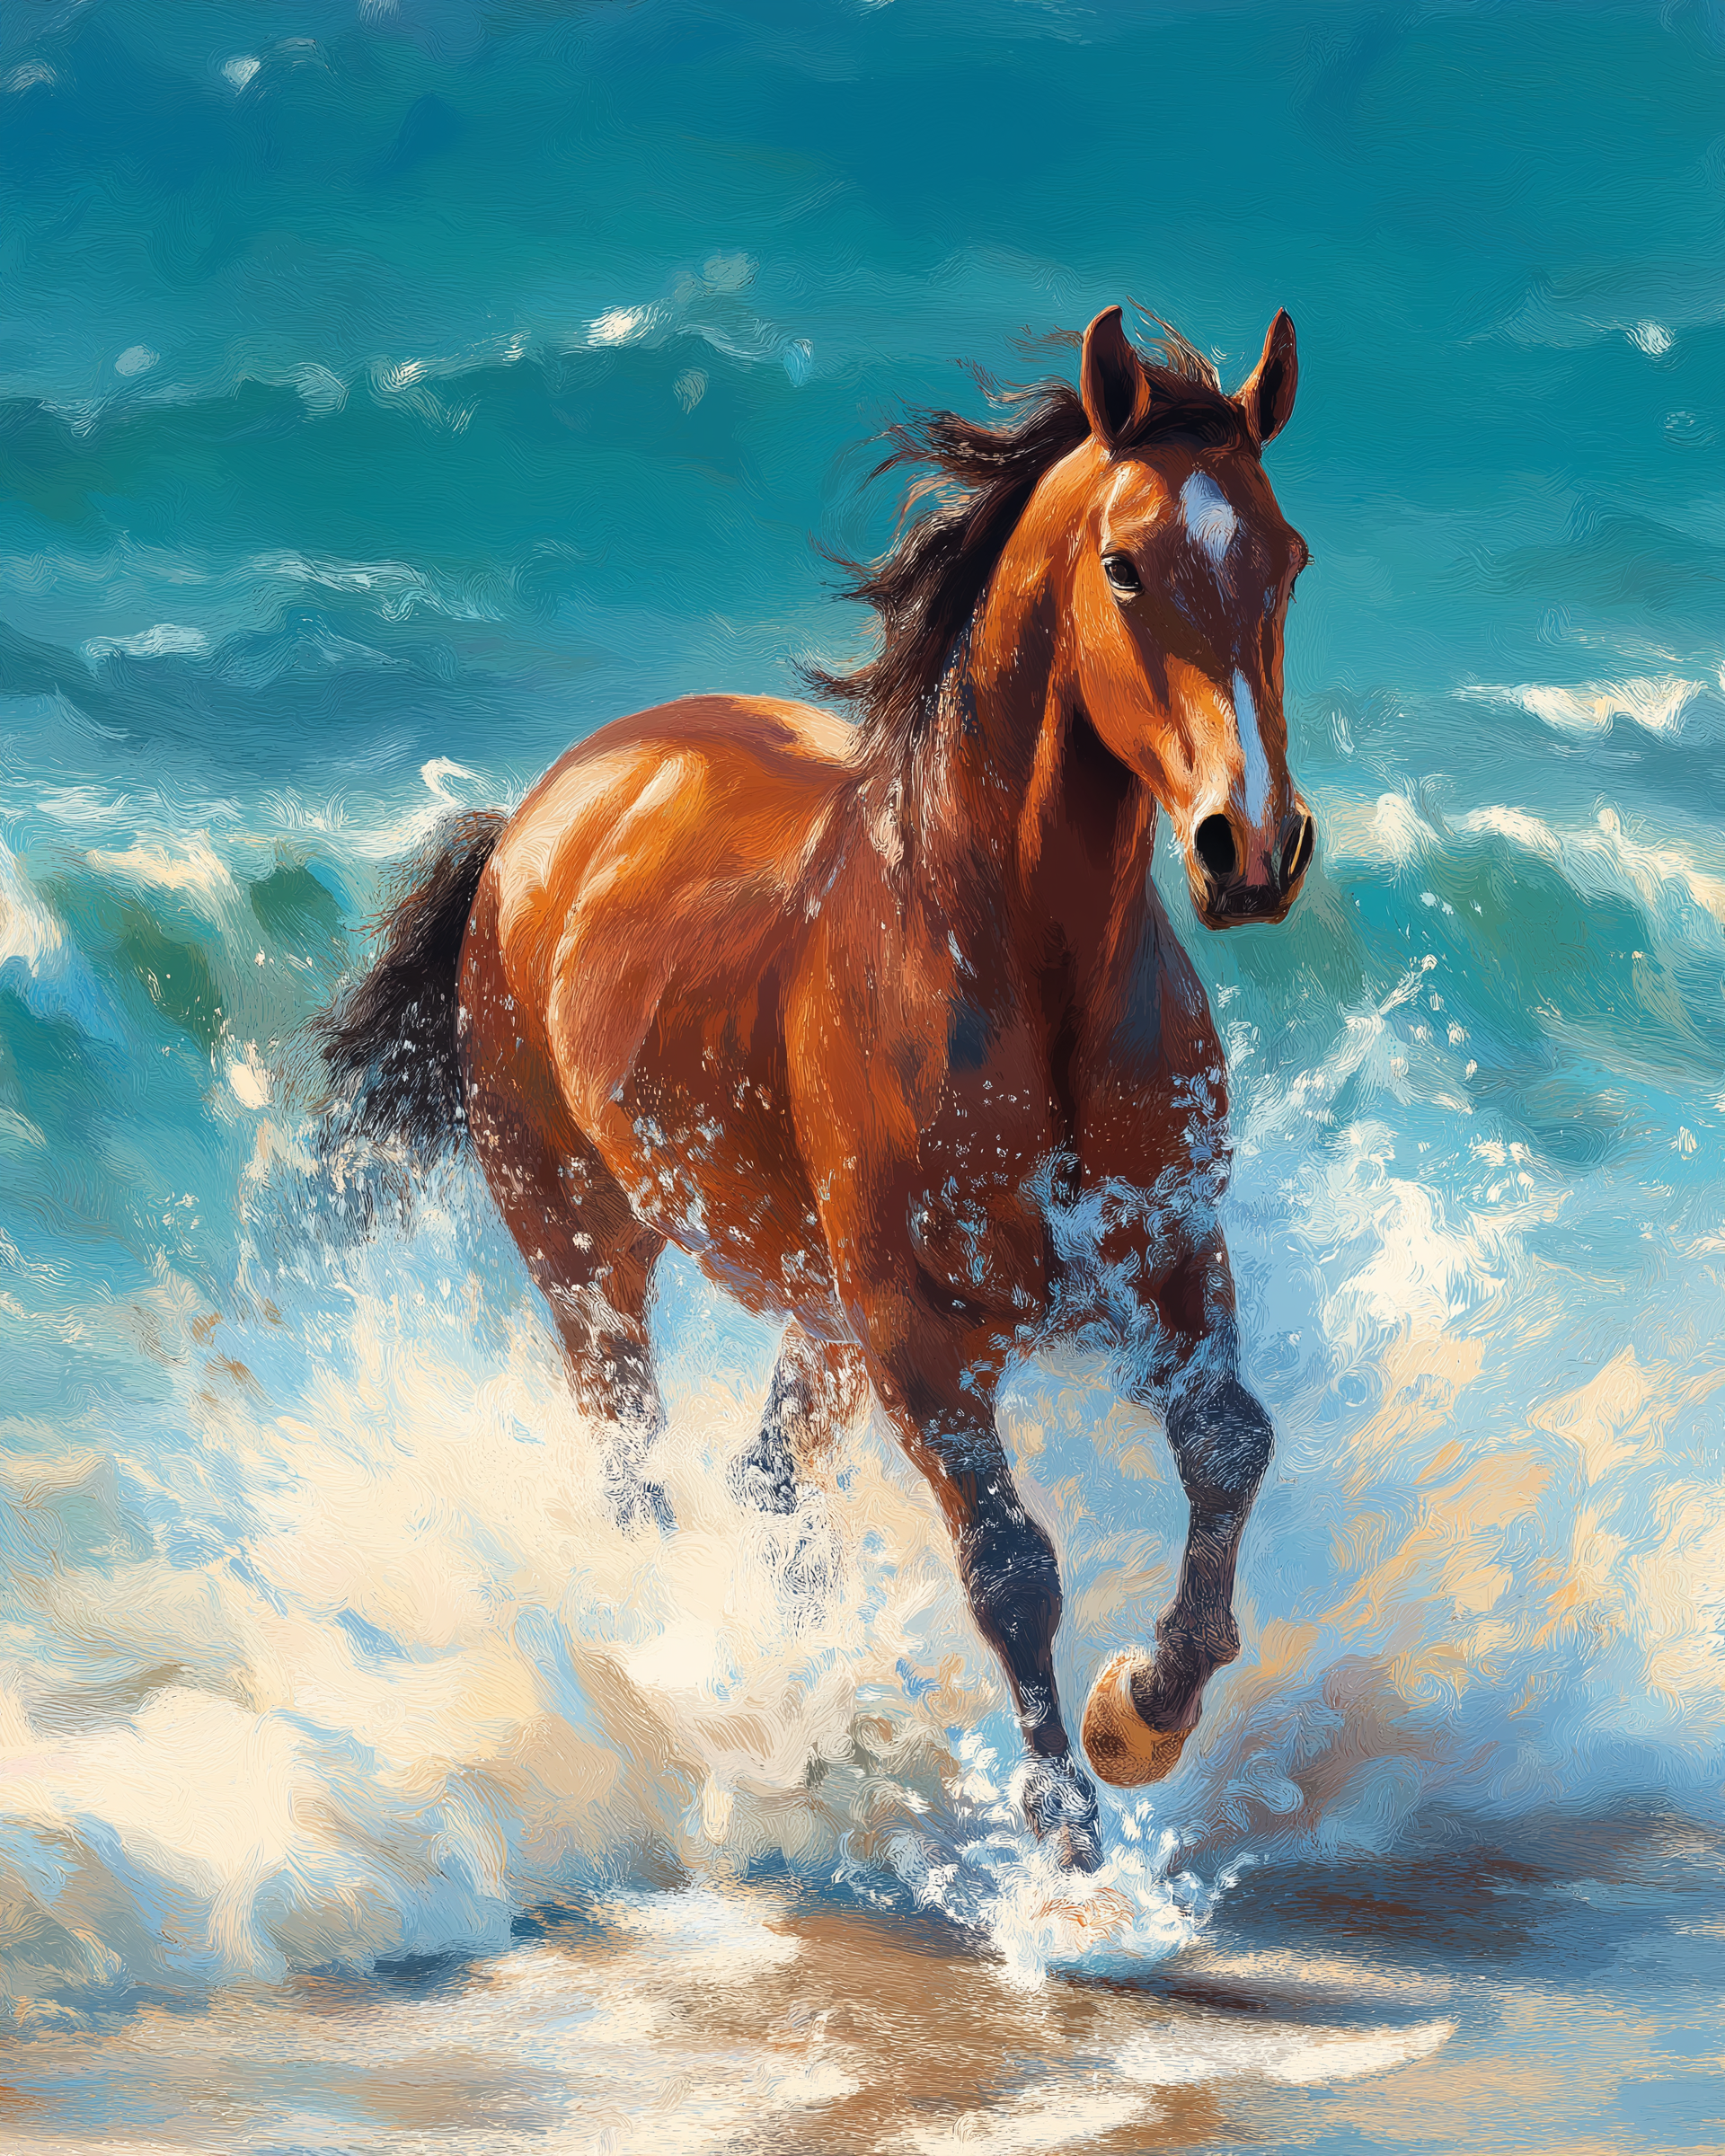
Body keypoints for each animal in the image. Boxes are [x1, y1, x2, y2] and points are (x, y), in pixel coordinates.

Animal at [320, 304, 1313, 1874]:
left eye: (1286, 558)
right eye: (1127, 567)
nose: (1252, 850)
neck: (1016, 974)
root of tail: (534, 819)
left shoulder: (1171, 1260)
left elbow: (1229, 1446)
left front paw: (1141, 1712)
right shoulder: (921, 1331)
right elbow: (1010, 1566)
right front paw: (1066, 1834)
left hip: (815, 1315)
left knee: (769, 1490)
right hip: (589, 1254)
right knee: (638, 1476)